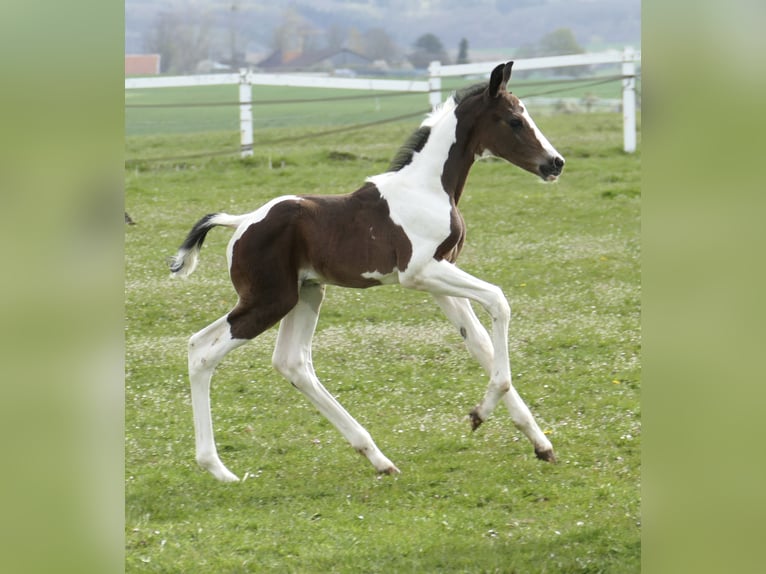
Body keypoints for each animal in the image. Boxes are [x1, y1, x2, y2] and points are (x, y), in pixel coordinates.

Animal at [170, 61, 564, 482]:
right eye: (514, 120)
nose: (555, 163)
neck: (427, 188)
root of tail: (242, 222)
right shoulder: (419, 273)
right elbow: (499, 302)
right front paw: (480, 414)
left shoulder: (440, 277)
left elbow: (479, 343)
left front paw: (540, 443)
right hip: (269, 301)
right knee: (206, 356)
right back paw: (218, 468)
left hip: (302, 294)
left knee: (278, 360)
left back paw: (377, 458)